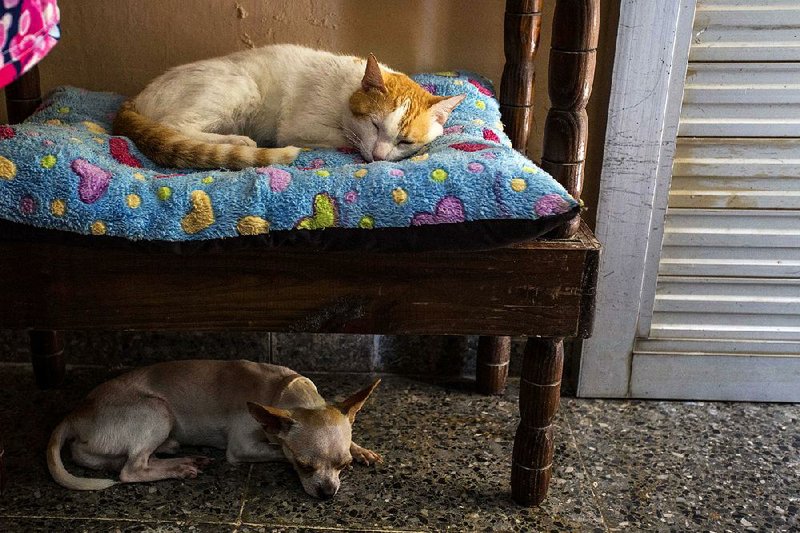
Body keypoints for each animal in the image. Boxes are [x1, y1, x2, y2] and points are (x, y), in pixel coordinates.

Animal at [47, 360, 382, 496]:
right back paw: (178, 467)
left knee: (131, 460)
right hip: (157, 411)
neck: (283, 392)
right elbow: (278, 449)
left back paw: (178, 455)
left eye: (345, 466)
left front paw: (362, 450)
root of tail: (74, 415)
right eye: (304, 466)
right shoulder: (244, 447)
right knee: (130, 470)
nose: (328, 494)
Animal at [111, 44, 462, 169]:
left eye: (405, 141)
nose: (376, 158)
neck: (345, 91)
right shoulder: (299, 129)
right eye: (375, 125)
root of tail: (136, 97)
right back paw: (239, 141)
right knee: (174, 126)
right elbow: (346, 140)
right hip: (241, 86)